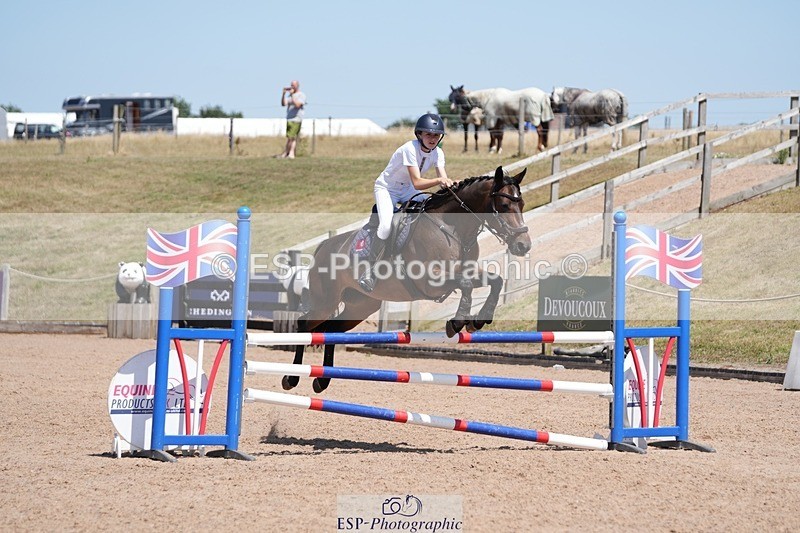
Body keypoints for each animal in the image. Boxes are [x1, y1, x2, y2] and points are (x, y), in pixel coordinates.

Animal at [282, 166, 532, 393]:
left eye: (521, 204)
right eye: (504, 206)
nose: (524, 245)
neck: (453, 228)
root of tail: (324, 245)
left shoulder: (465, 271)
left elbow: (495, 281)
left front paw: (479, 319)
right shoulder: (430, 280)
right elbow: (466, 284)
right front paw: (458, 321)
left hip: (360, 306)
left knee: (332, 330)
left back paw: (322, 380)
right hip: (325, 301)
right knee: (304, 325)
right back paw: (291, 378)